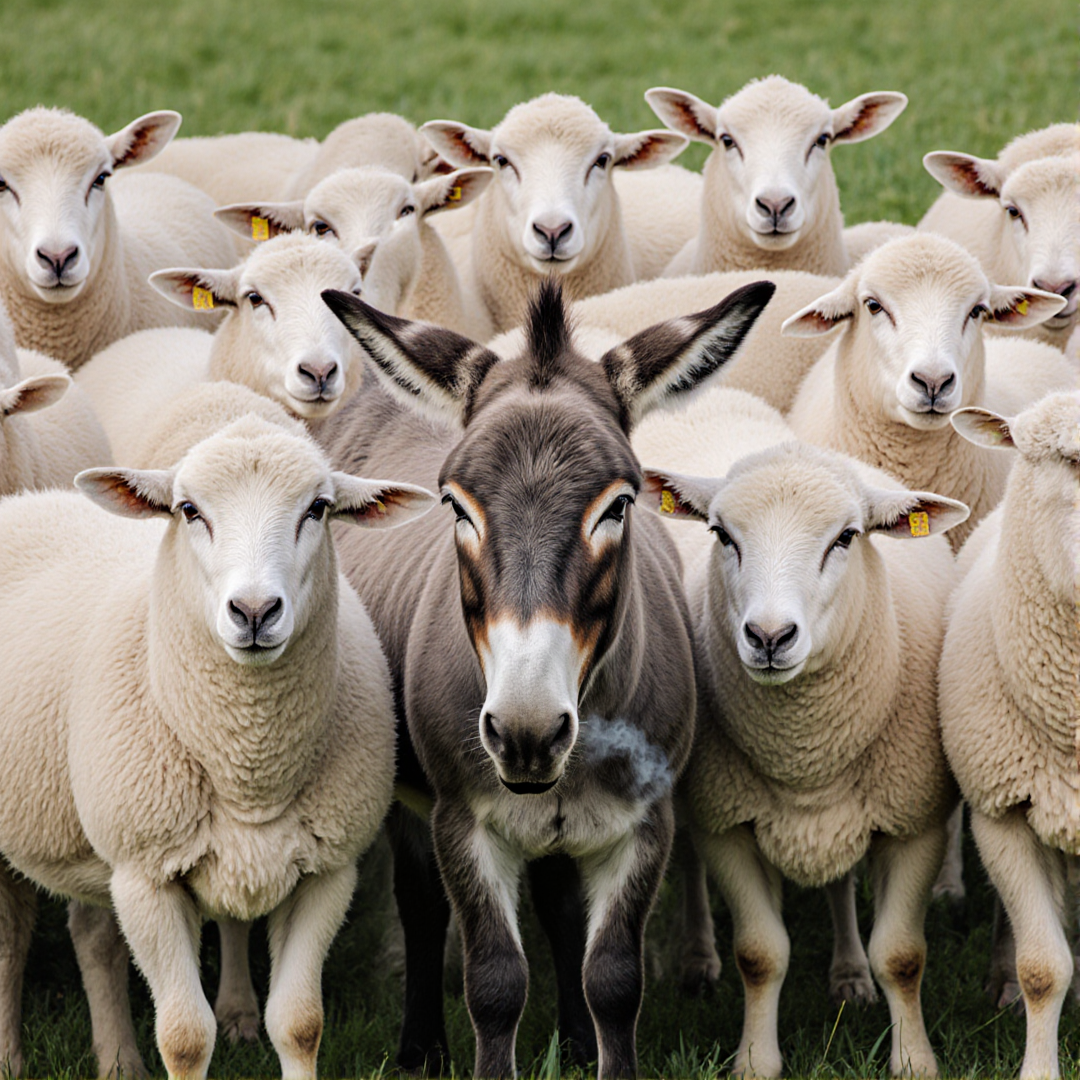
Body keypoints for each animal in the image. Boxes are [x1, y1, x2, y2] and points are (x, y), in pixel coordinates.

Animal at [0, 413, 436, 1080]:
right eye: (188, 510)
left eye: (318, 508)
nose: (254, 611)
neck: (250, 761)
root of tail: (27, 500)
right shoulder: (146, 878)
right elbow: (184, 1037)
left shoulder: (328, 873)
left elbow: (301, 1024)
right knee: (11, 936)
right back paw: (10, 1056)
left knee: (94, 936)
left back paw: (119, 1059)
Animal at [643, 441, 969, 1077]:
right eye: (721, 534)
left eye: (846, 537)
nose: (770, 637)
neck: (803, 757)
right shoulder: (727, 824)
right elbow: (759, 953)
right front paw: (754, 1061)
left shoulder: (914, 823)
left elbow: (901, 955)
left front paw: (913, 1061)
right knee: (687, 859)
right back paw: (696, 960)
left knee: (839, 884)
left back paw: (849, 975)